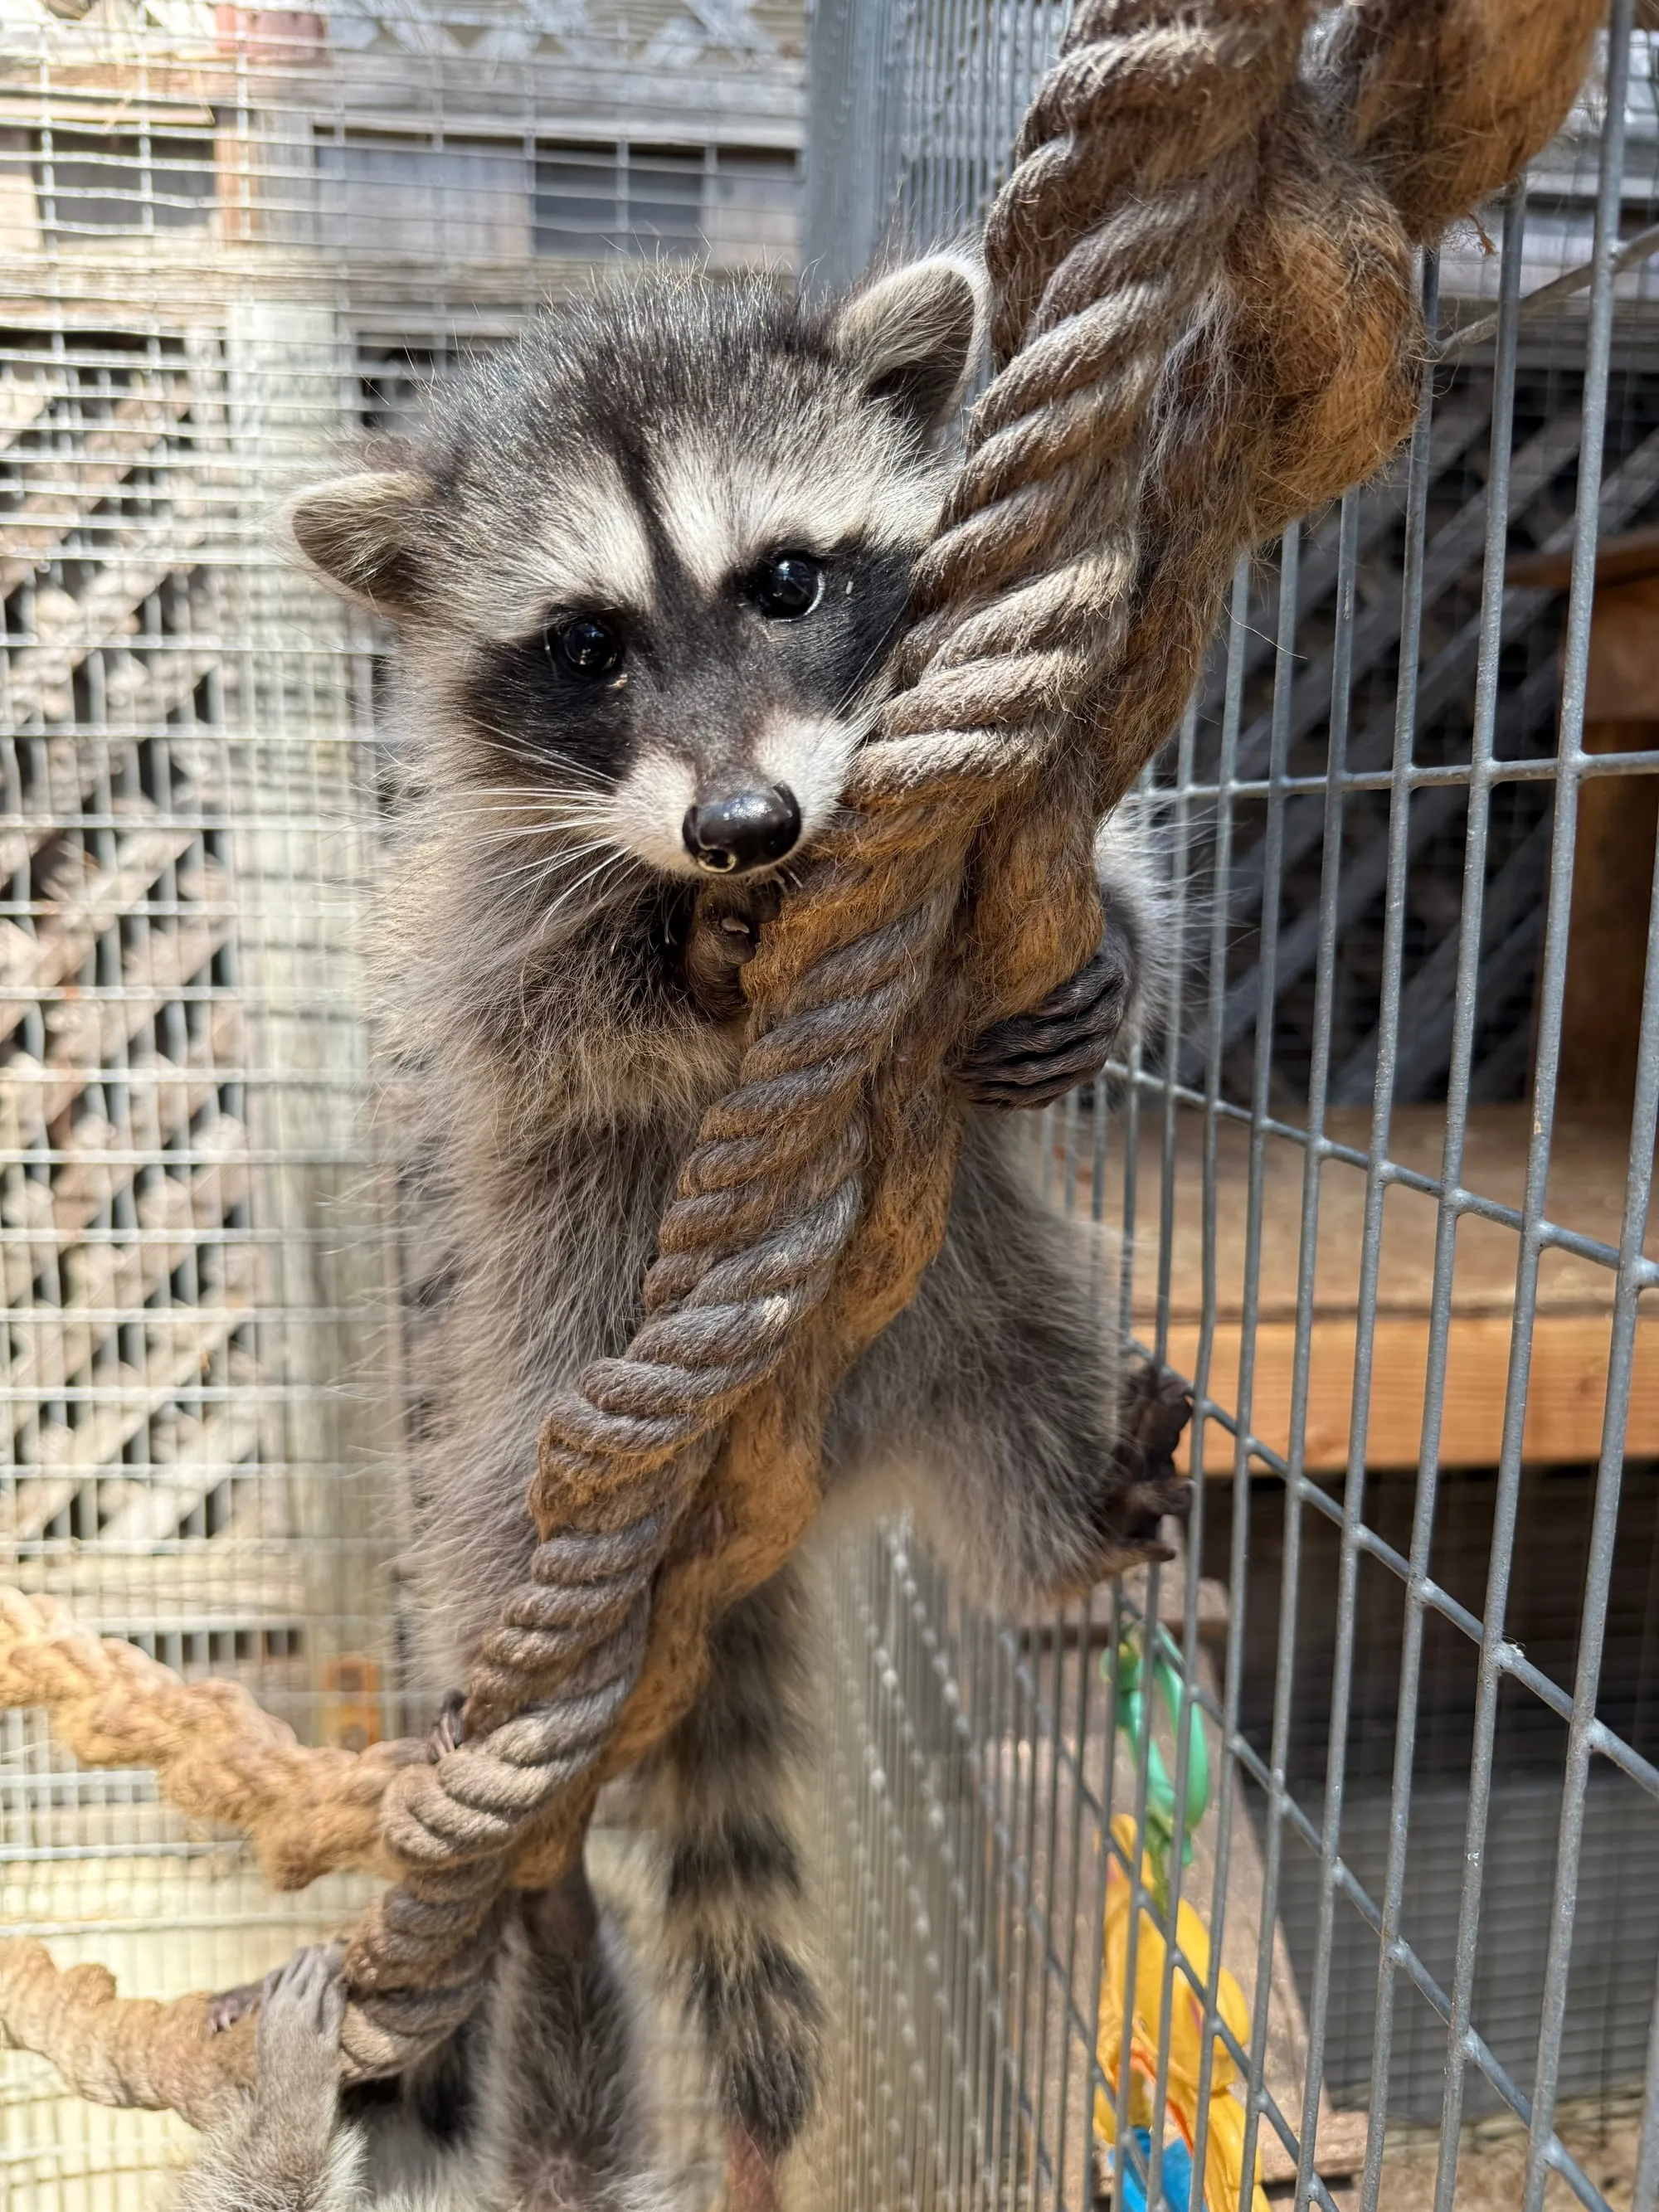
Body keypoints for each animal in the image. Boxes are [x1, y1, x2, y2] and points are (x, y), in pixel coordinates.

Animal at [280, 256, 1190, 2205]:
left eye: (787, 580)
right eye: (586, 646)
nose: (743, 824)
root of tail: (789, 1484)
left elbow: (1077, 906)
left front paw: (1113, 942)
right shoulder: (476, 902)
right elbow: (543, 1016)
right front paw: (666, 948)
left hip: (970, 1298)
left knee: (1029, 1384)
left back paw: (1085, 1506)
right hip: (524, 1402)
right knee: (498, 1511)